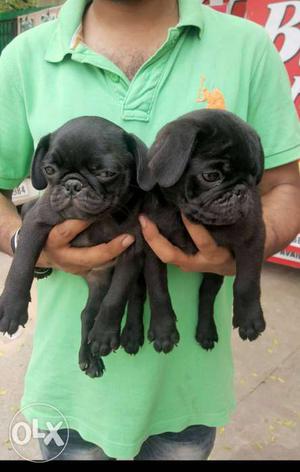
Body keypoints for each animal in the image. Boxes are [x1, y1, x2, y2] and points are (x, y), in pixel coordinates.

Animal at [0, 116, 148, 378]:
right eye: (49, 170)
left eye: (107, 173)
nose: (71, 184)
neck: (99, 219)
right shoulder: (36, 222)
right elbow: (21, 264)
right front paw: (12, 307)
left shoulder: (131, 249)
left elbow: (116, 296)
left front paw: (104, 334)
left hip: (102, 282)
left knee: (90, 314)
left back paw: (91, 356)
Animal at [137, 109, 266, 352]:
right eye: (212, 176)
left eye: (254, 177)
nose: (242, 190)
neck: (183, 214)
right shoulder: (153, 250)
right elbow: (158, 290)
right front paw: (163, 331)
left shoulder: (252, 237)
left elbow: (247, 282)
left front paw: (250, 319)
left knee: (206, 294)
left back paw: (206, 331)